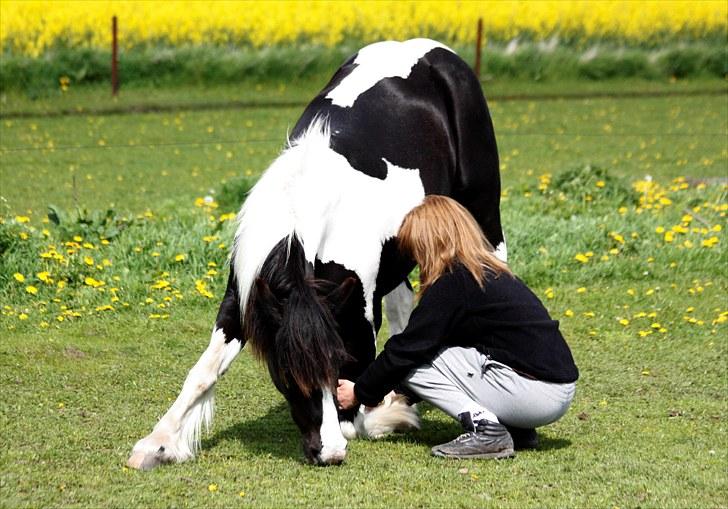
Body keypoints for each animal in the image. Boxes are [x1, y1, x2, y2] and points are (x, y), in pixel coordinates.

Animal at [129, 38, 506, 468]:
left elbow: (363, 386)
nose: (330, 453)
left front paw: (385, 417)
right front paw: (157, 443)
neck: (302, 212)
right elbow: (204, 370)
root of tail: (432, 51)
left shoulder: (356, 316)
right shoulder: (243, 298)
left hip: (483, 210)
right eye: (287, 372)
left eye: (339, 360)